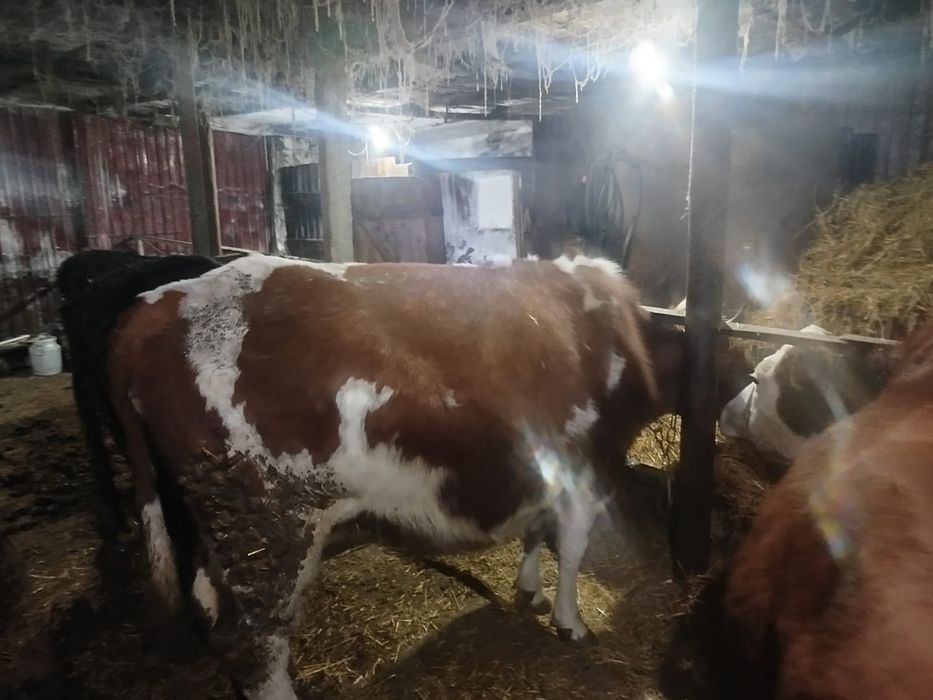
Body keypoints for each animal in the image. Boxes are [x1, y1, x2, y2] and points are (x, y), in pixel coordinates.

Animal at [102, 252, 746, 699]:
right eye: (737, 362)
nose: (741, 410)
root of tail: (155, 303)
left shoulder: (542, 474)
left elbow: (536, 534)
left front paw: (530, 592)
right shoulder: (584, 475)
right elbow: (571, 552)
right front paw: (571, 622)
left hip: (224, 525)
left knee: (211, 603)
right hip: (268, 524)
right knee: (255, 641)